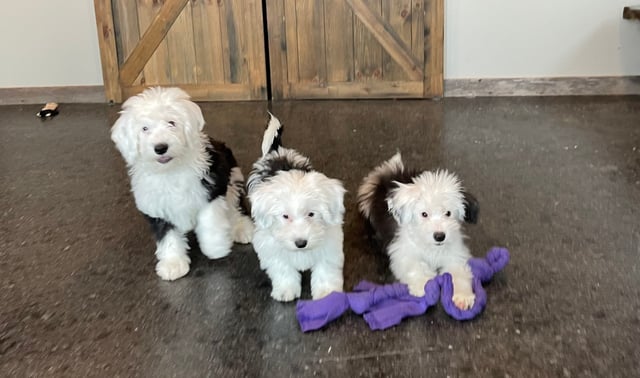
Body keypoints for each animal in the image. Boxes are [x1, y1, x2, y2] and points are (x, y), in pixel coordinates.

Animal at [111, 86, 254, 280]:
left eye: (171, 122)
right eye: (145, 128)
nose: (160, 147)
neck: (170, 171)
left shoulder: (210, 188)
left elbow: (210, 220)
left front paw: (216, 247)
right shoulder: (156, 207)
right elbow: (167, 236)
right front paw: (173, 264)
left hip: (232, 178)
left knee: (235, 206)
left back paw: (242, 228)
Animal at [356, 152, 480, 308]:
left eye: (448, 213)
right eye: (424, 214)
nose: (439, 236)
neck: (432, 248)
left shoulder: (455, 254)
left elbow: (459, 273)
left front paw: (463, 296)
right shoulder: (402, 253)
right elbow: (414, 267)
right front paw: (423, 285)